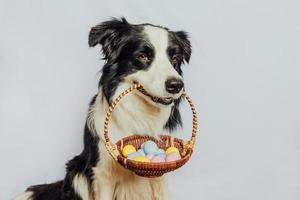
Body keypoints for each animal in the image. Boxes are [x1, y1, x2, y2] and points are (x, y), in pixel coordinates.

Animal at [14, 17, 192, 200]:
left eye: (175, 58)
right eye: (142, 56)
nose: (176, 85)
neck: (139, 113)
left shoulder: (159, 178)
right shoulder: (102, 174)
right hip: (77, 172)